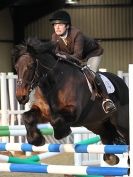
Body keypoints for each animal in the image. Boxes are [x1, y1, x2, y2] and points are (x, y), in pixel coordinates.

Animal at [12, 37, 129, 166]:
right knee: (107, 135)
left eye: (31, 65)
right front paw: (36, 140)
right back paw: (110, 158)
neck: (52, 84)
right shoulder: (44, 112)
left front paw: (61, 133)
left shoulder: (73, 111)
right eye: (16, 67)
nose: (20, 96)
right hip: (96, 124)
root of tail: (123, 84)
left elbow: (56, 119)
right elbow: (27, 117)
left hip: (122, 124)